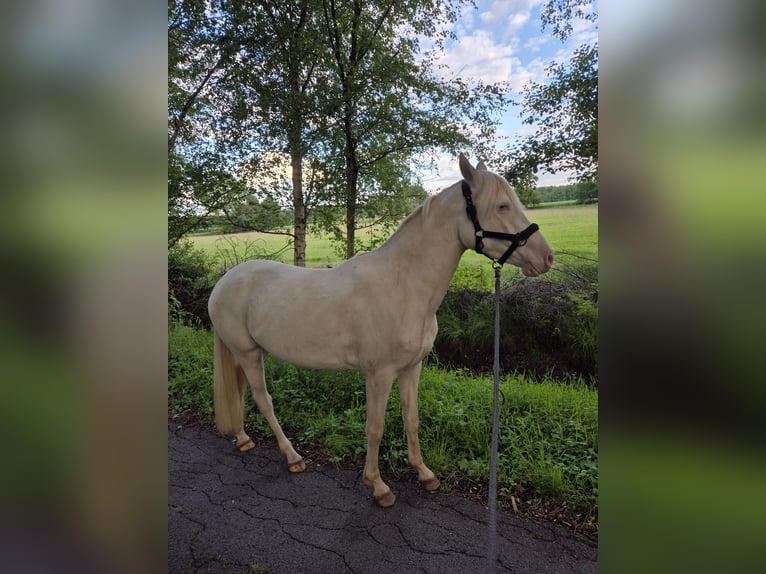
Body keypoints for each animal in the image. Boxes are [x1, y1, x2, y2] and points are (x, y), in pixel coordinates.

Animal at [207, 154, 554, 507]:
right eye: (502, 206)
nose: (546, 257)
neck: (403, 286)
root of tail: (223, 283)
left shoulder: (411, 368)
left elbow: (411, 418)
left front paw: (424, 474)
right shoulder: (379, 374)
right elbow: (375, 427)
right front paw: (378, 486)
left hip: (245, 354)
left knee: (239, 393)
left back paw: (243, 439)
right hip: (249, 354)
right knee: (263, 400)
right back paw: (292, 457)